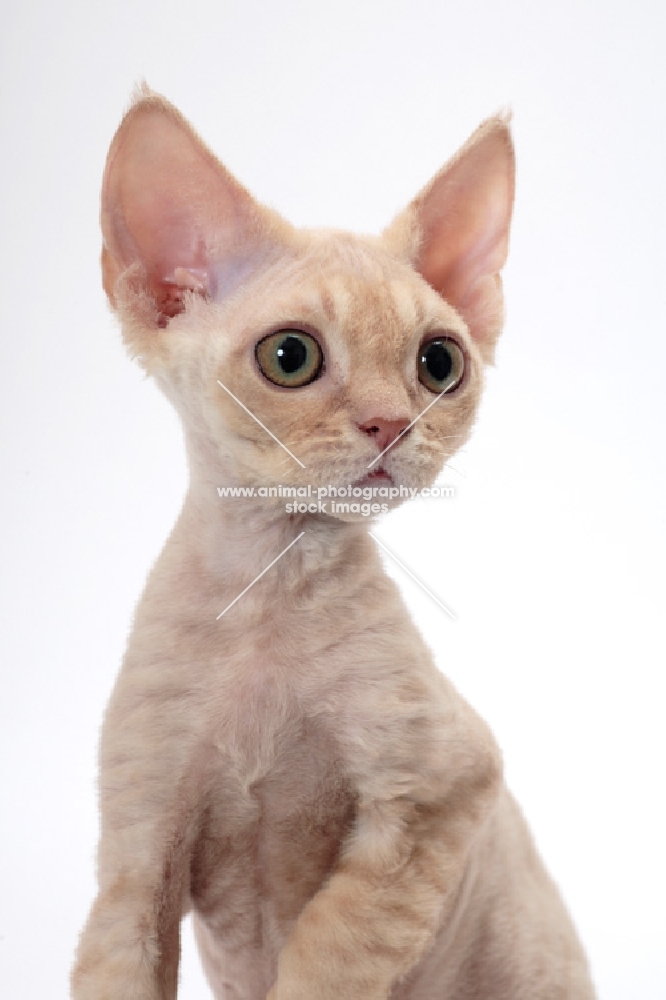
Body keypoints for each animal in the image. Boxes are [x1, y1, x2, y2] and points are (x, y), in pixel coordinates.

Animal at [70, 88, 592, 1000]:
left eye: (440, 363)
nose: (391, 422)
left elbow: (332, 947)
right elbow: (121, 962)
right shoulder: (135, 855)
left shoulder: (441, 793)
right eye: (290, 357)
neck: (268, 595)